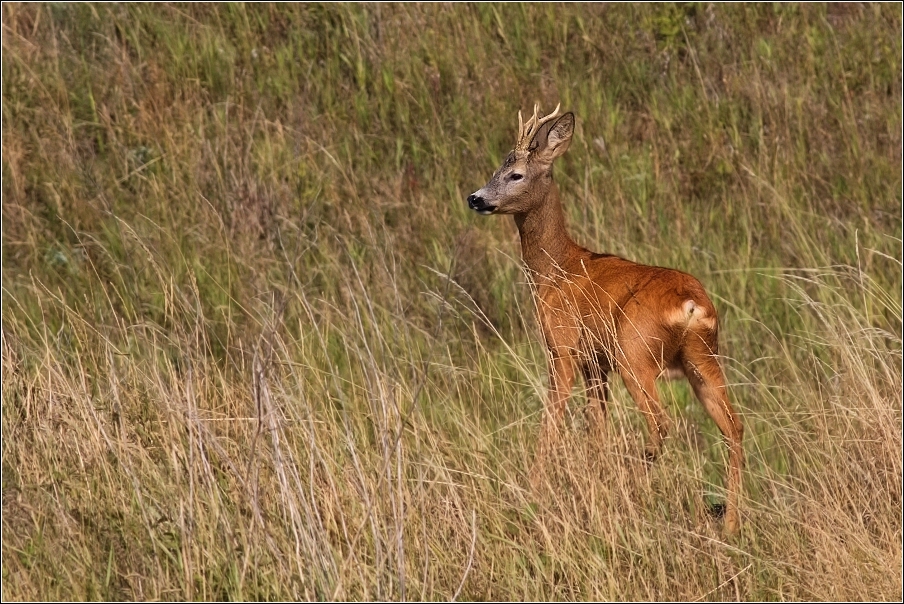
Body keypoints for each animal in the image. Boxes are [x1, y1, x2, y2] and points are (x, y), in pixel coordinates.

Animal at [466, 104, 740, 532]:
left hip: (636, 352)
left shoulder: (562, 347)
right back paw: (730, 524)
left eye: (516, 174)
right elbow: (597, 428)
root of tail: (692, 304)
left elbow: (552, 422)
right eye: (498, 167)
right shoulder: (596, 364)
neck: (556, 269)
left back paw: (634, 477)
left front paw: (534, 489)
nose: (475, 198)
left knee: (662, 422)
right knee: (733, 427)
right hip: (702, 359)